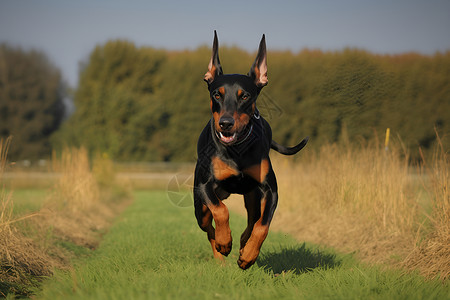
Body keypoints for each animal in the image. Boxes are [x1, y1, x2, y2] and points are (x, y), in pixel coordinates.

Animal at [194, 31, 310, 270]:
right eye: (217, 95)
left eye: (244, 96)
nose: (226, 124)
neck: (237, 149)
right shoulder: (204, 185)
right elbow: (220, 211)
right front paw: (224, 242)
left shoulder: (270, 190)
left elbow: (262, 226)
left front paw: (248, 255)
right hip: (199, 206)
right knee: (208, 227)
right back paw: (220, 250)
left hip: (252, 197)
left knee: (251, 222)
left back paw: (242, 246)